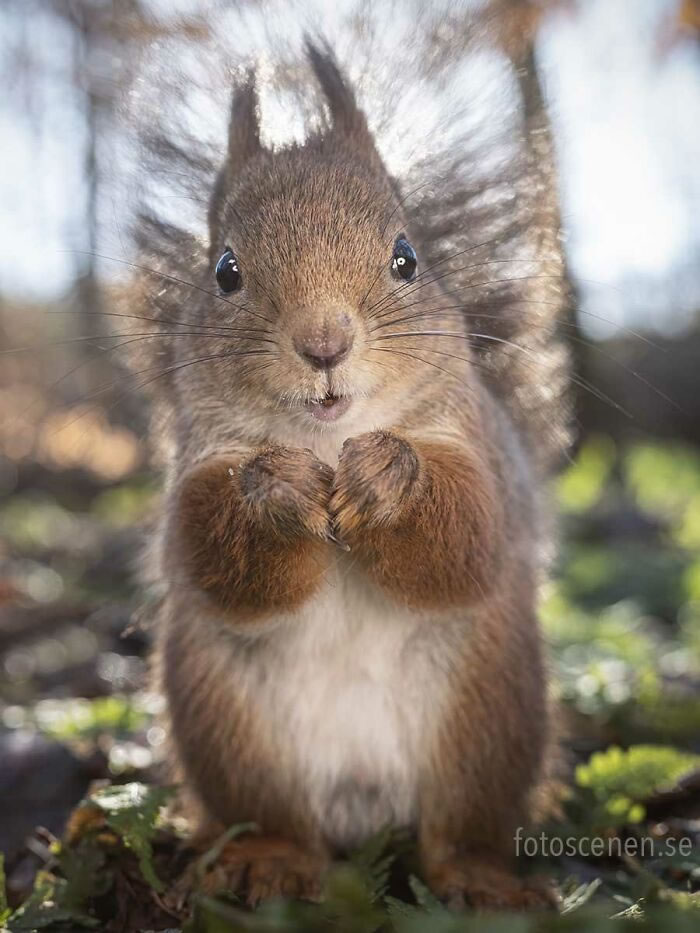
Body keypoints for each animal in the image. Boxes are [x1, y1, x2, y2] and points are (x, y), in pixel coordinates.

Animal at [127, 41, 576, 912]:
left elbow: (469, 542)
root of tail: (364, 807)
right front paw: (275, 491)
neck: (328, 441)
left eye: (406, 258)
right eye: (225, 271)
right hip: (230, 728)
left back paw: (480, 878)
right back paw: (268, 860)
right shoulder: (194, 468)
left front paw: (391, 477)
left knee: (459, 831)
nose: (325, 342)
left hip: (487, 718)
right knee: (279, 820)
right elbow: (211, 555)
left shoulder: (477, 453)